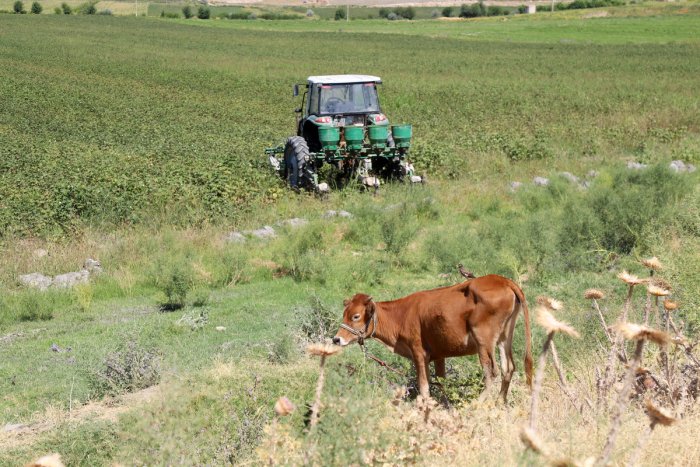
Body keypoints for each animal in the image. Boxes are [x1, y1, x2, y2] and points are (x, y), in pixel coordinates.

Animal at [332, 274, 532, 402]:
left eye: (356, 316)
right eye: (344, 313)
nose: (336, 339)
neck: (402, 315)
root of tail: (503, 280)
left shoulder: (418, 353)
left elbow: (424, 387)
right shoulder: (438, 355)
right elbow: (440, 383)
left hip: (484, 341)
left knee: (492, 373)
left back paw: (477, 404)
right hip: (504, 338)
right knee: (508, 368)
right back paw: (500, 402)